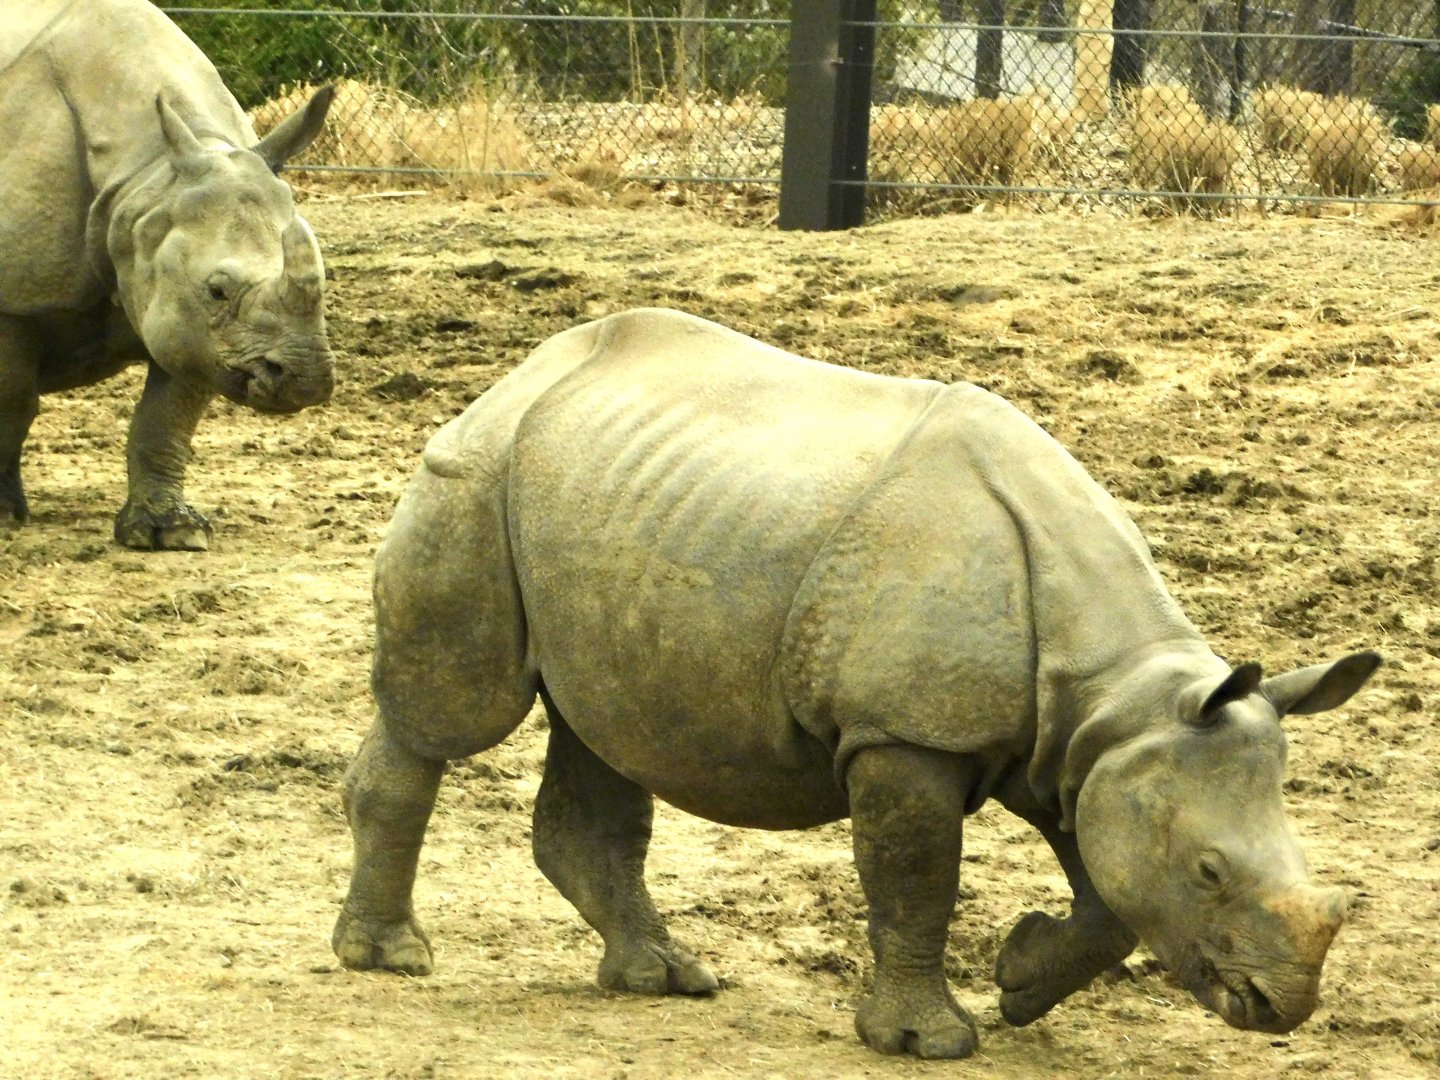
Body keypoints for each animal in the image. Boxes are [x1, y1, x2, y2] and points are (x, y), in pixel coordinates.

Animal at [0, 0, 335, 549]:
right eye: (217, 290)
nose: (304, 380)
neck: (145, 178)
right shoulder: (14, 298)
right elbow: (13, 400)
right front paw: (5, 515)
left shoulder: (191, 322)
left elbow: (165, 419)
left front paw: (171, 532)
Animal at [333, 308, 1379, 1059]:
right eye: (1209, 872)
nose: (1280, 1005)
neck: (1121, 688)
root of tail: (519, 373)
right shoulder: (906, 732)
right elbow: (917, 877)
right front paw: (928, 1041)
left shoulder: (1092, 751)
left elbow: (1108, 898)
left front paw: (1020, 980)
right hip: (473, 476)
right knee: (454, 716)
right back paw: (389, 961)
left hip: (598, 496)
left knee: (605, 730)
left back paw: (662, 977)